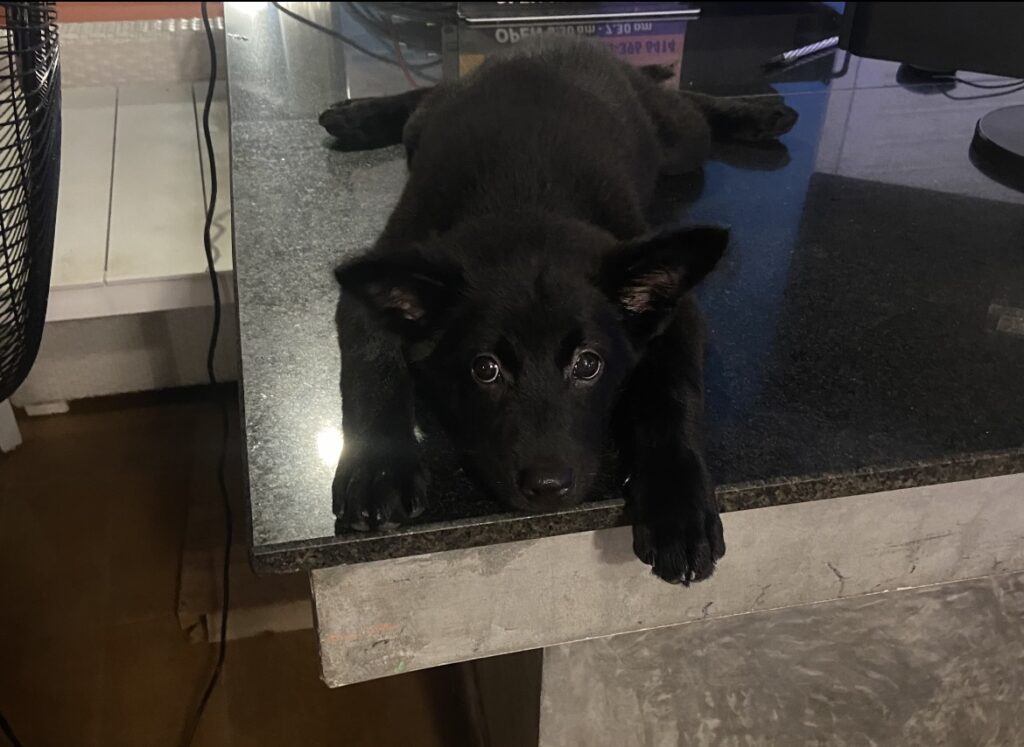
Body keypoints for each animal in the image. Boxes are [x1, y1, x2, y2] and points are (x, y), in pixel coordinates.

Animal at [323, 37, 794, 582]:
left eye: (588, 364)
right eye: (485, 369)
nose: (547, 488)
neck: (523, 206)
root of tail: (551, 39)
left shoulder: (678, 313)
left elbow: (673, 395)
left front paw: (678, 505)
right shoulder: (377, 280)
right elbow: (371, 369)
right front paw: (376, 469)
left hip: (681, 144)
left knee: (687, 103)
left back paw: (760, 111)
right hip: (424, 127)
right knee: (428, 94)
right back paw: (356, 114)